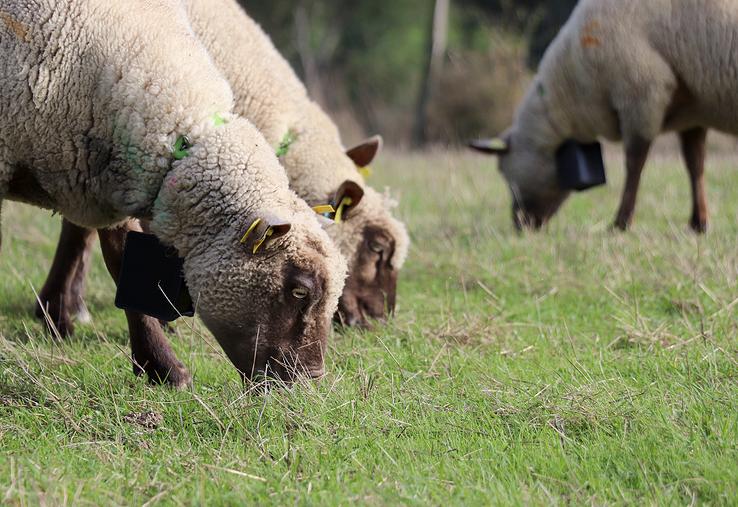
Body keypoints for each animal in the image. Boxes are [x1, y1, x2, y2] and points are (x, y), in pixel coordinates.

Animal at [468, 0, 736, 233]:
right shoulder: (693, 112)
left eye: (505, 174)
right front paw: (699, 223)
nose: (520, 224)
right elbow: (695, 165)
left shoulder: (642, 92)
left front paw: (621, 223)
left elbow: (634, 163)